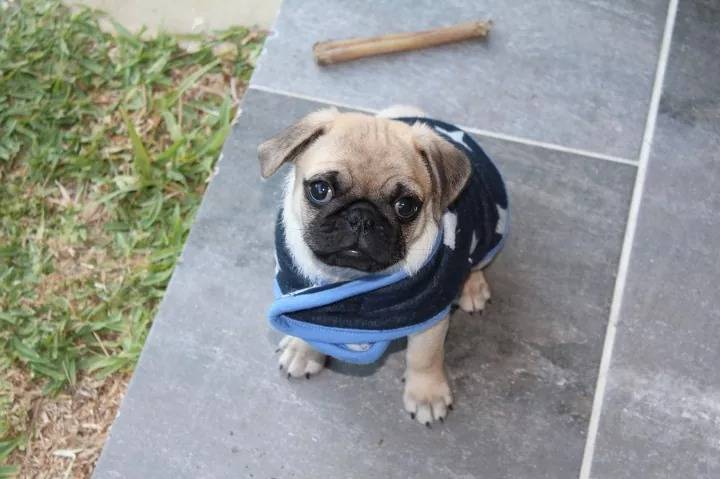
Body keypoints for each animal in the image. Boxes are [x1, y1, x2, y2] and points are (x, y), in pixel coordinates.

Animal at [258, 107, 490, 426]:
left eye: (405, 206)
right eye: (320, 190)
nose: (361, 217)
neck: (350, 276)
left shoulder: (430, 314)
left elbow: (424, 356)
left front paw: (426, 394)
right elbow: (310, 326)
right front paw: (303, 351)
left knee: (476, 261)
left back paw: (473, 287)